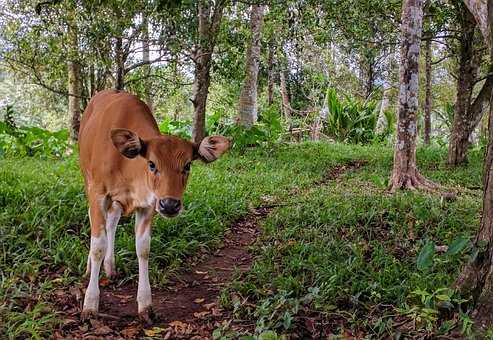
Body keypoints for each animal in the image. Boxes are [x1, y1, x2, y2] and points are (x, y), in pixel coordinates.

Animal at [78, 90, 229, 322]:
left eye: (187, 165)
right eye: (151, 164)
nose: (170, 205)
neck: (127, 167)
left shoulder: (149, 204)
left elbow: (143, 249)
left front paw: (145, 304)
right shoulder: (98, 194)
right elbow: (97, 246)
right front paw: (90, 303)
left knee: (112, 221)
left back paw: (110, 267)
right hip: (87, 179)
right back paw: (90, 268)